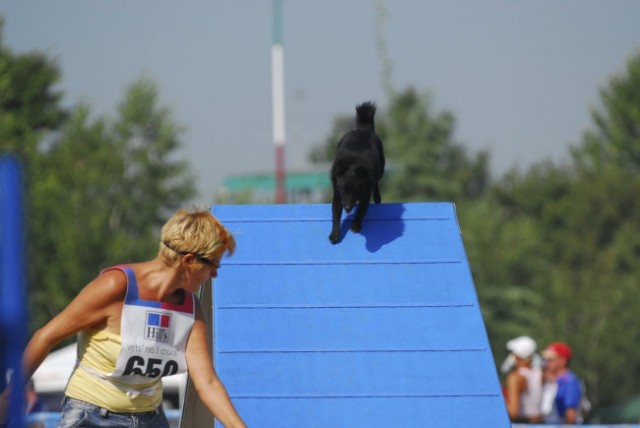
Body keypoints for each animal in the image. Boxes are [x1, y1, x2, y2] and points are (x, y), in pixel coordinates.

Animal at [330, 98, 384, 242]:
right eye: (343, 191)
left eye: (355, 191)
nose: (347, 207)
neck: (352, 164)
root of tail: (363, 130)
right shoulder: (337, 193)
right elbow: (336, 213)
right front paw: (334, 235)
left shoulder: (366, 192)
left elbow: (361, 211)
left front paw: (355, 226)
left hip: (380, 170)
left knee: (377, 182)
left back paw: (378, 198)